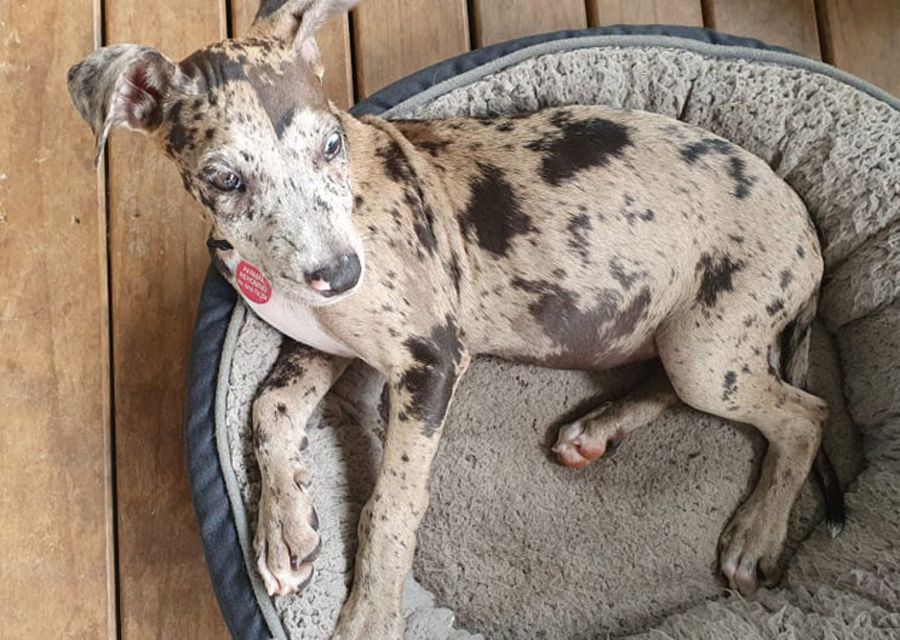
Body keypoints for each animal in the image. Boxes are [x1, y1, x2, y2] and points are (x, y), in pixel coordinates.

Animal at [67, 0, 845, 637]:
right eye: (225, 179)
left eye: (330, 146)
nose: (342, 275)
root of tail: (808, 229)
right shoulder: (320, 340)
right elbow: (268, 408)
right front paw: (285, 532)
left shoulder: (430, 361)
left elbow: (391, 504)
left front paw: (371, 616)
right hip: (681, 342)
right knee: (686, 385)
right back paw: (597, 429)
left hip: (710, 347)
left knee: (805, 413)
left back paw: (755, 534)